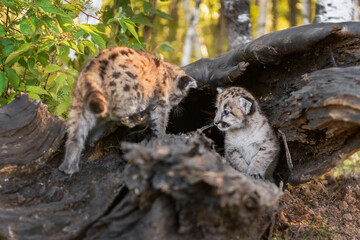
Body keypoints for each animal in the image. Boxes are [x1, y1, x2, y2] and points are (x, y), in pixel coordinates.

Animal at [60, 46, 198, 174]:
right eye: (179, 97)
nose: (176, 105)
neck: (167, 71)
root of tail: (95, 64)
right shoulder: (161, 99)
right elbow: (160, 121)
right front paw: (163, 137)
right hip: (131, 87)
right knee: (118, 112)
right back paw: (137, 116)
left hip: (80, 103)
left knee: (75, 135)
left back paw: (69, 168)